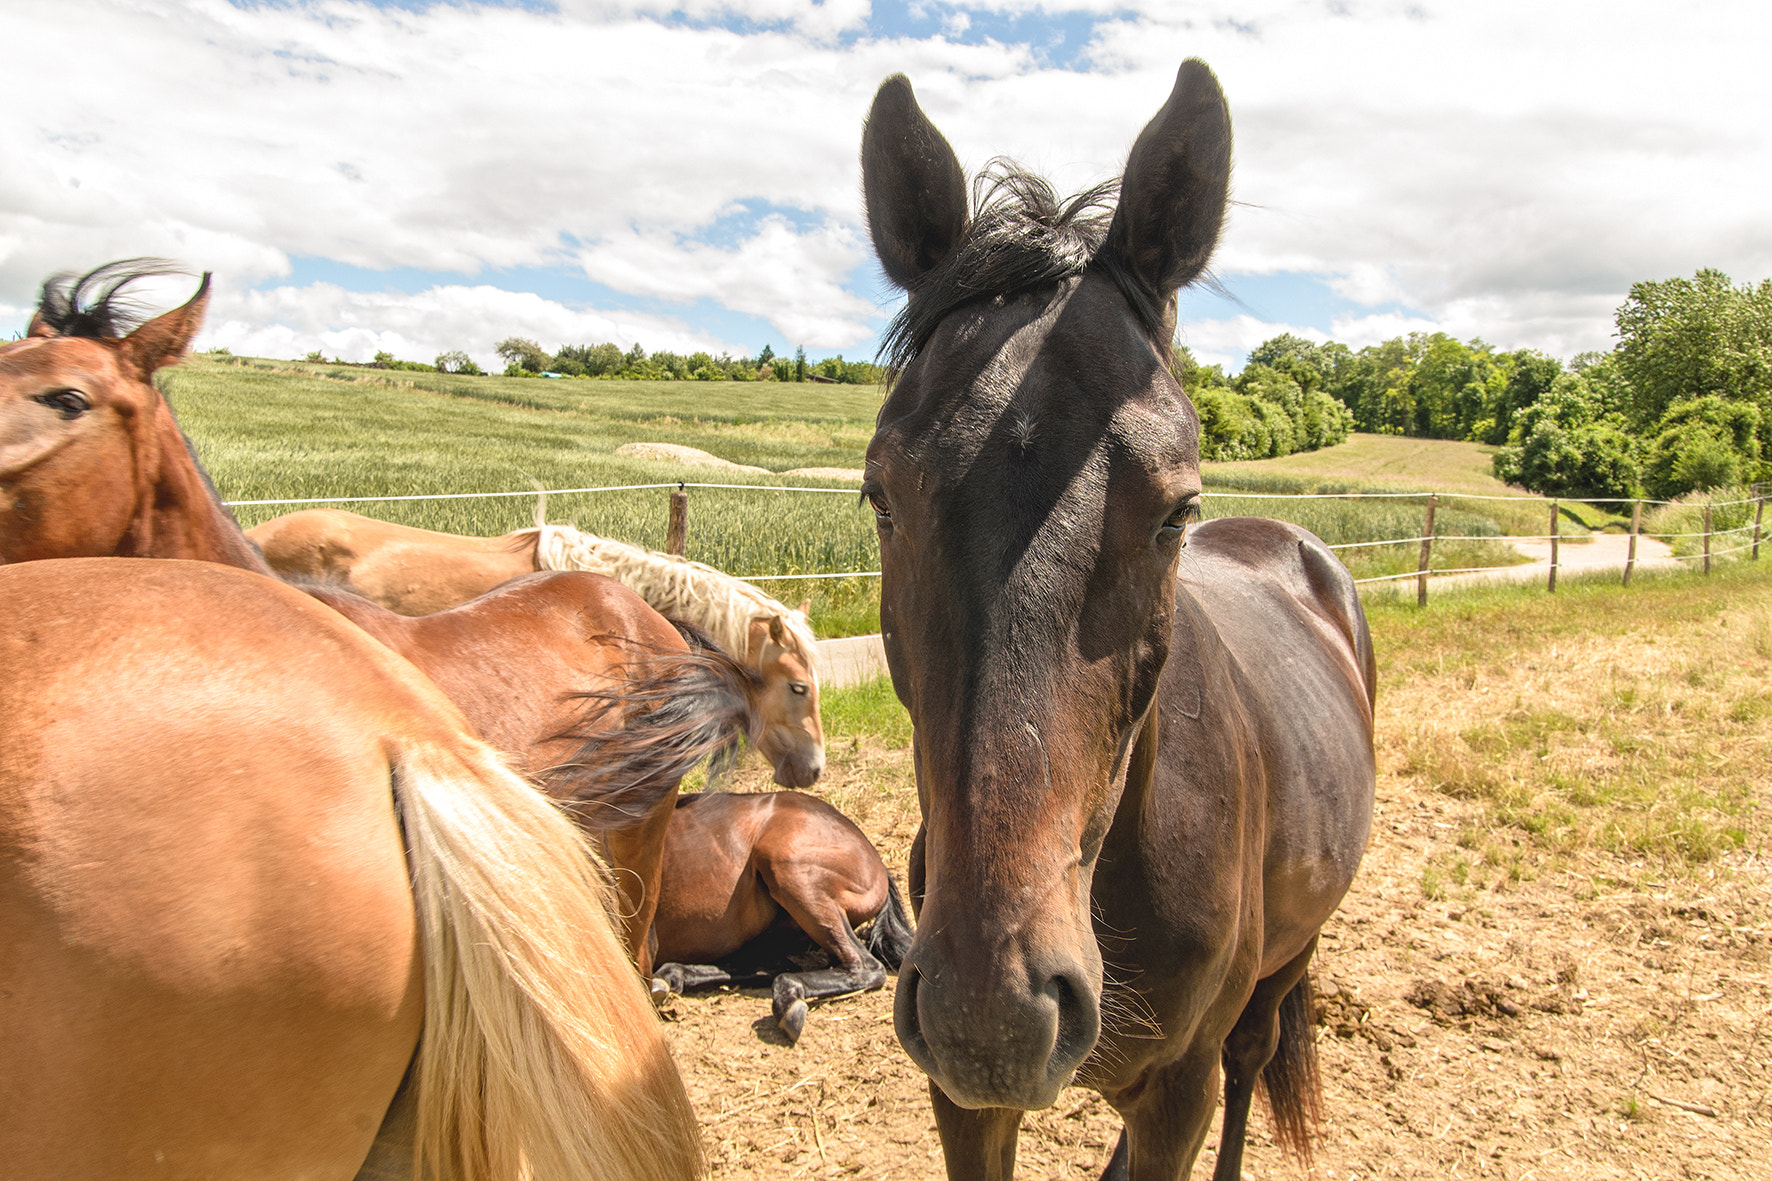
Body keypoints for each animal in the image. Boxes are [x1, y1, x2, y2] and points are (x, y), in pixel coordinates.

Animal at [645, 790, 914, 1042]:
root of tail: (879, 865)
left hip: (790, 869)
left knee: (862, 965)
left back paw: (788, 1001)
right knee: (768, 964)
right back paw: (671, 977)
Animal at [864, 66, 1375, 1177]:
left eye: (1178, 508)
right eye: (879, 496)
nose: (993, 1010)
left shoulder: (1177, 1089)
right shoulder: (962, 1097)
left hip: (1287, 962)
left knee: (1254, 1056)